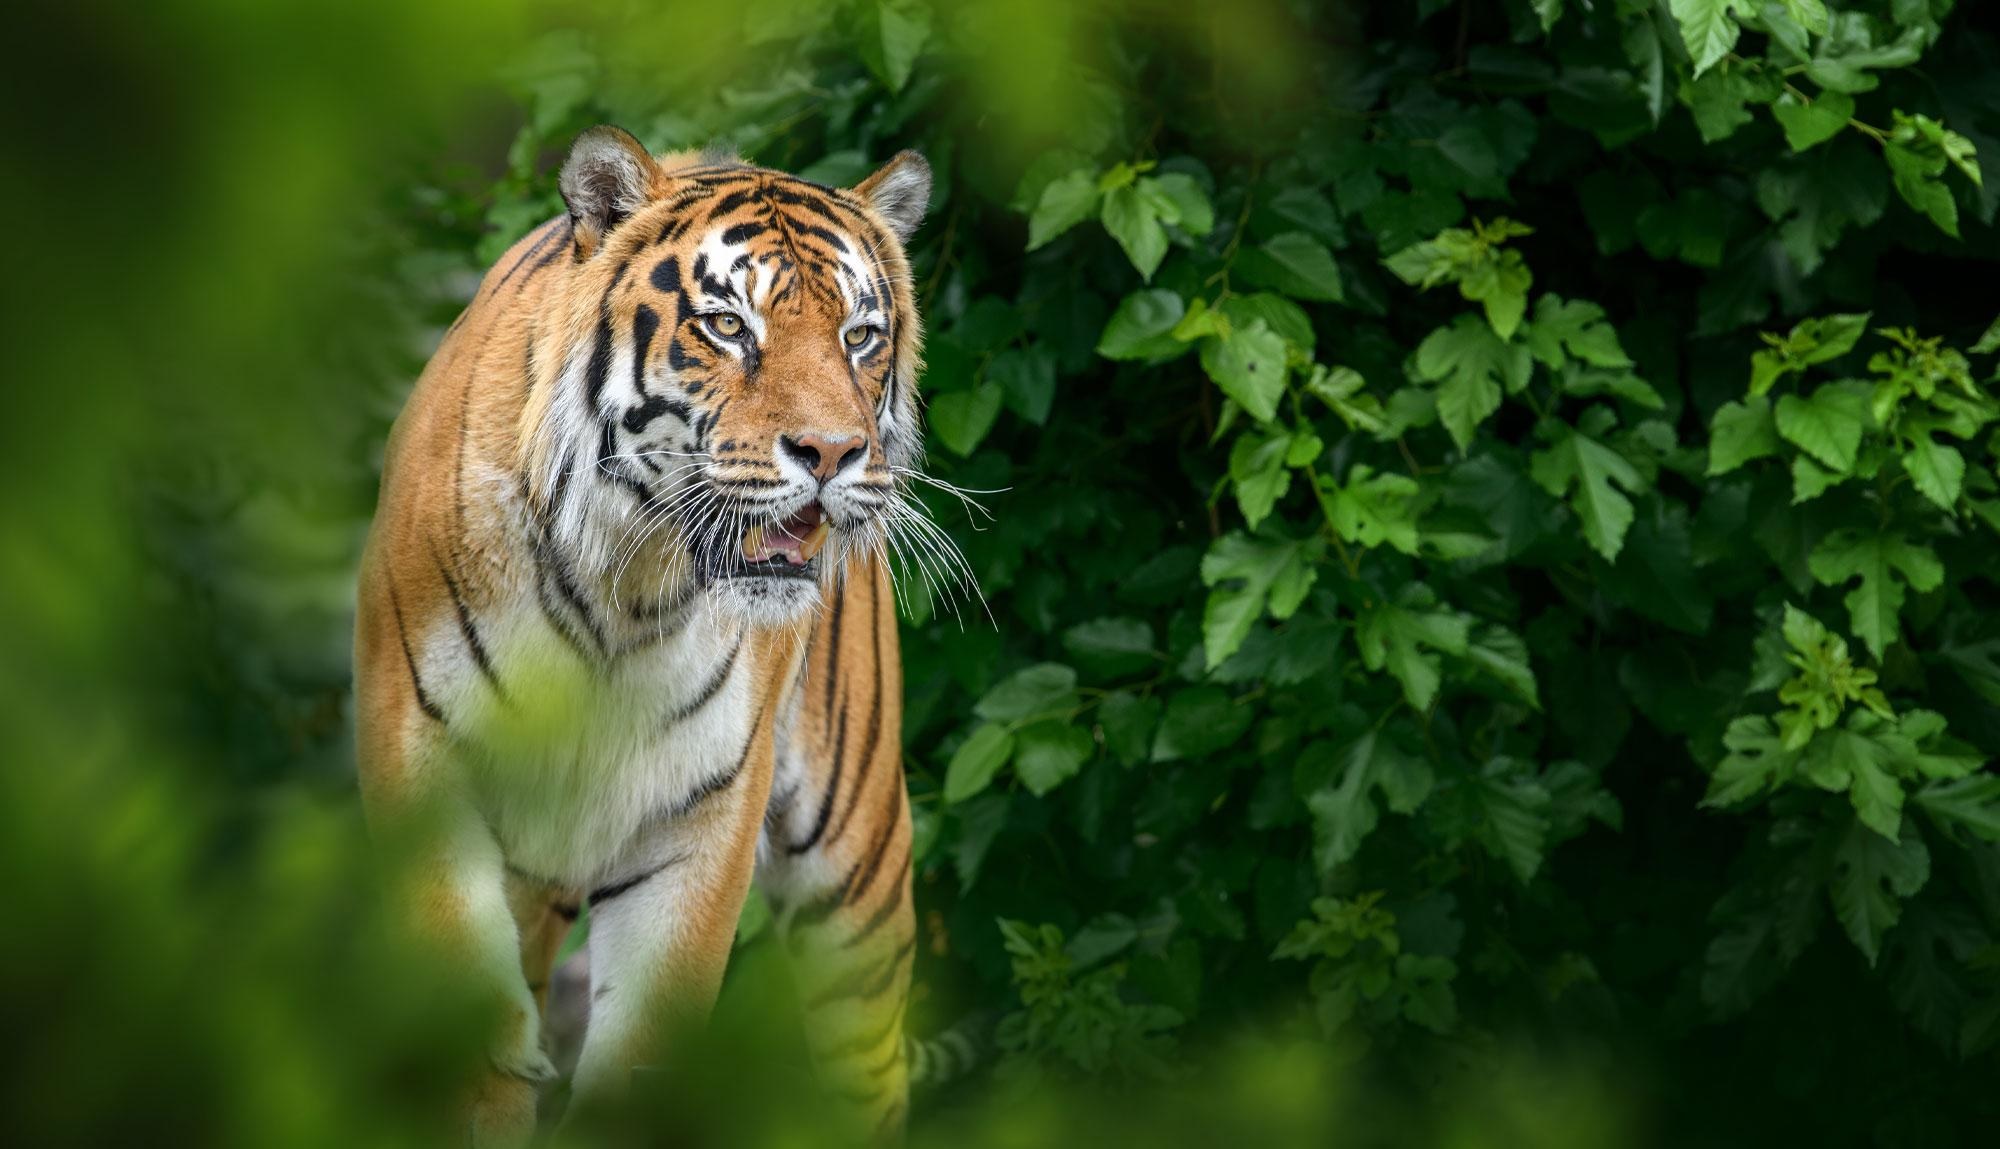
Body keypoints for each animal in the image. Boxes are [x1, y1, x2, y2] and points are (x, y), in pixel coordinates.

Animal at [353, 125, 933, 1146]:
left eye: (860, 335)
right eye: (729, 326)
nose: (833, 452)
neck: (624, 591)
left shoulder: (701, 818)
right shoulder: (423, 764)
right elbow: (479, 1042)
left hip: (855, 873)